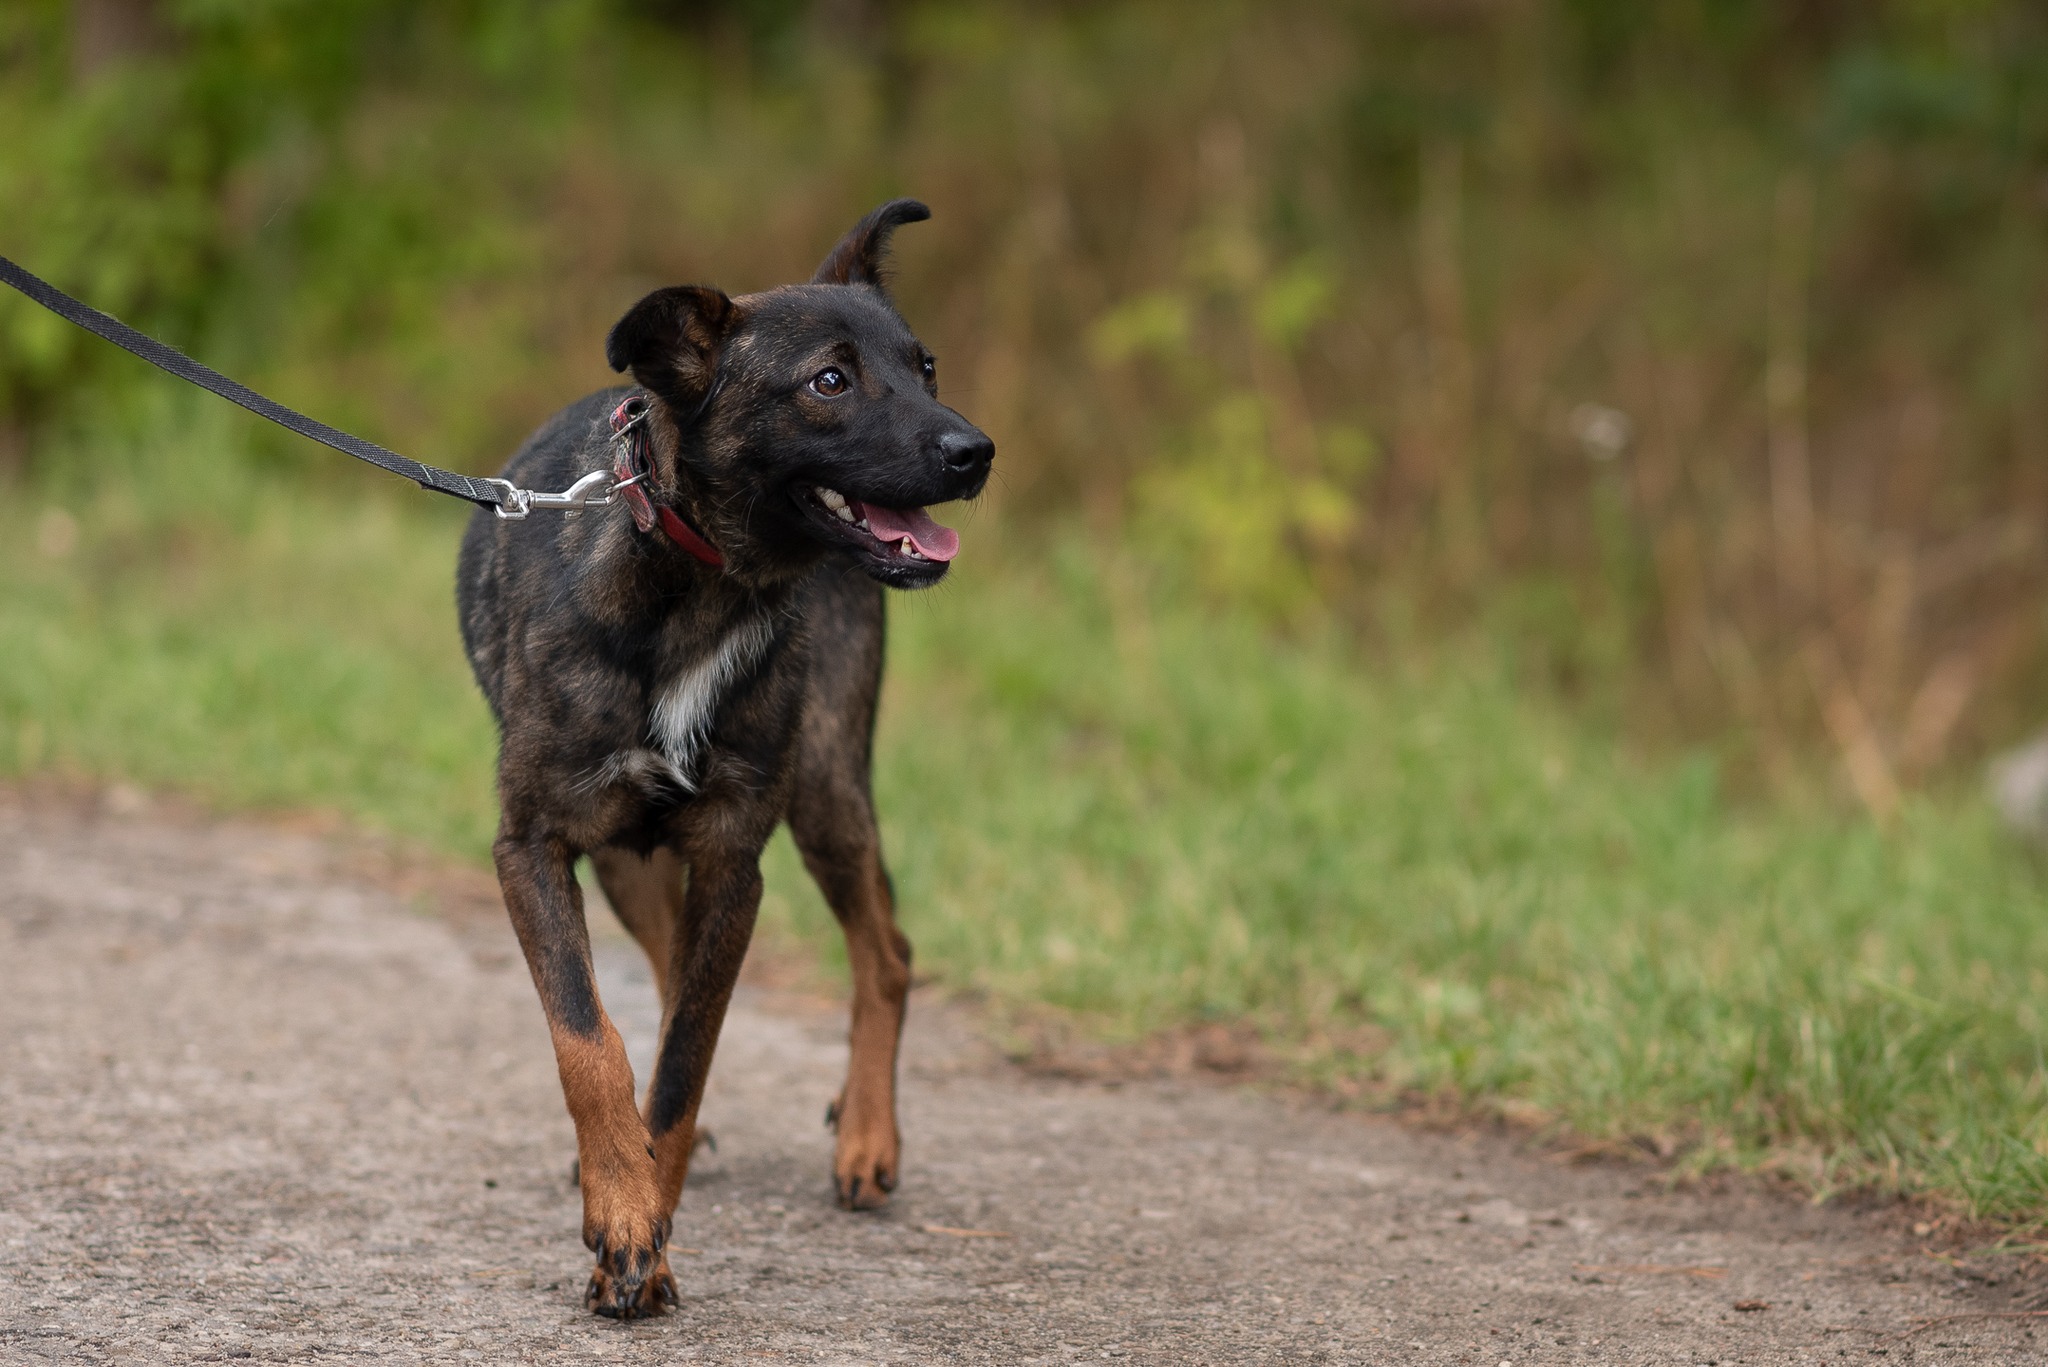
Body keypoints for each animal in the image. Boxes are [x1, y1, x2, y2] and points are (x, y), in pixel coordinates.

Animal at [454, 200, 991, 1311]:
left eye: (925, 366)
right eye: (829, 381)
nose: (977, 450)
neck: (700, 586)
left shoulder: (733, 858)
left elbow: (684, 1065)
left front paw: (642, 1223)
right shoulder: (532, 846)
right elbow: (589, 1038)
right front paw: (625, 1203)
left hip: (824, 786)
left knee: (885, 949)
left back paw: (865, 1136)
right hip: (626, 859)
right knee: (661, 980)